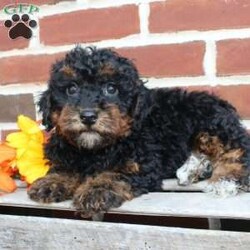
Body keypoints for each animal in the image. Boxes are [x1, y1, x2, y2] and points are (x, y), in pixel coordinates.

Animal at [28, 46, 250, 217]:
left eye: (111, 88)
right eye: (71, 89)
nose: (88, 116)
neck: (95, 149)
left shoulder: (140, 162)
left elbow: (116, 174)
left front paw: (96, 190)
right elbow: (64, 166)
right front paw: (52, 182)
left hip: (211, 125)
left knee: (237, 151)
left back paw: (225, 180)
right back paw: (192, 170)